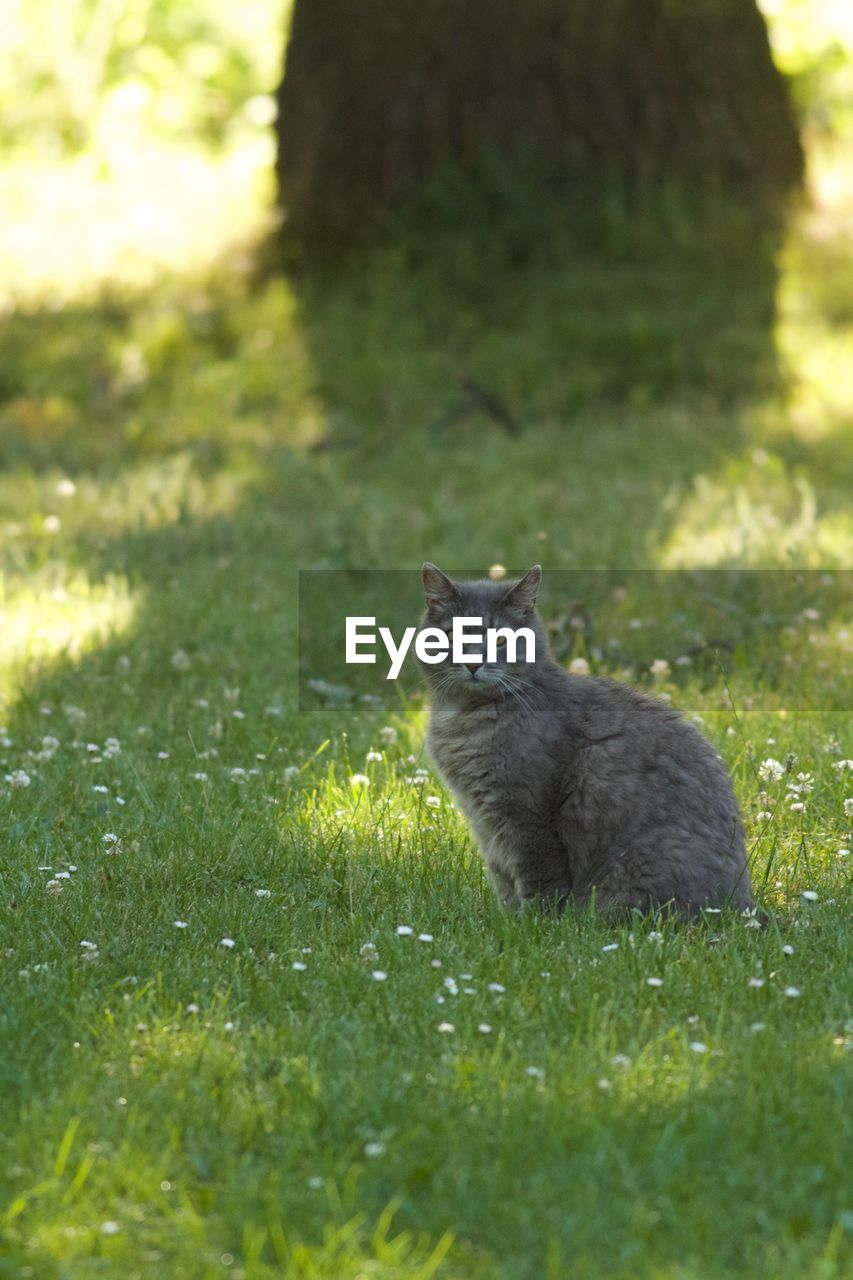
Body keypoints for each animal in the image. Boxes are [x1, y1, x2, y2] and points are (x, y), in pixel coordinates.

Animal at [417, 565, 753, 916]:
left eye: (500, 639)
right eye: (452, 635)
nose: (473, 663)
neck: (465, 716)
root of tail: (744, 906)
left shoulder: (529, 815)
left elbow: (539, 879)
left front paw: (535, 922)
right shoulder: (483, 820)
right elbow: (502, 877)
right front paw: (508, 919)